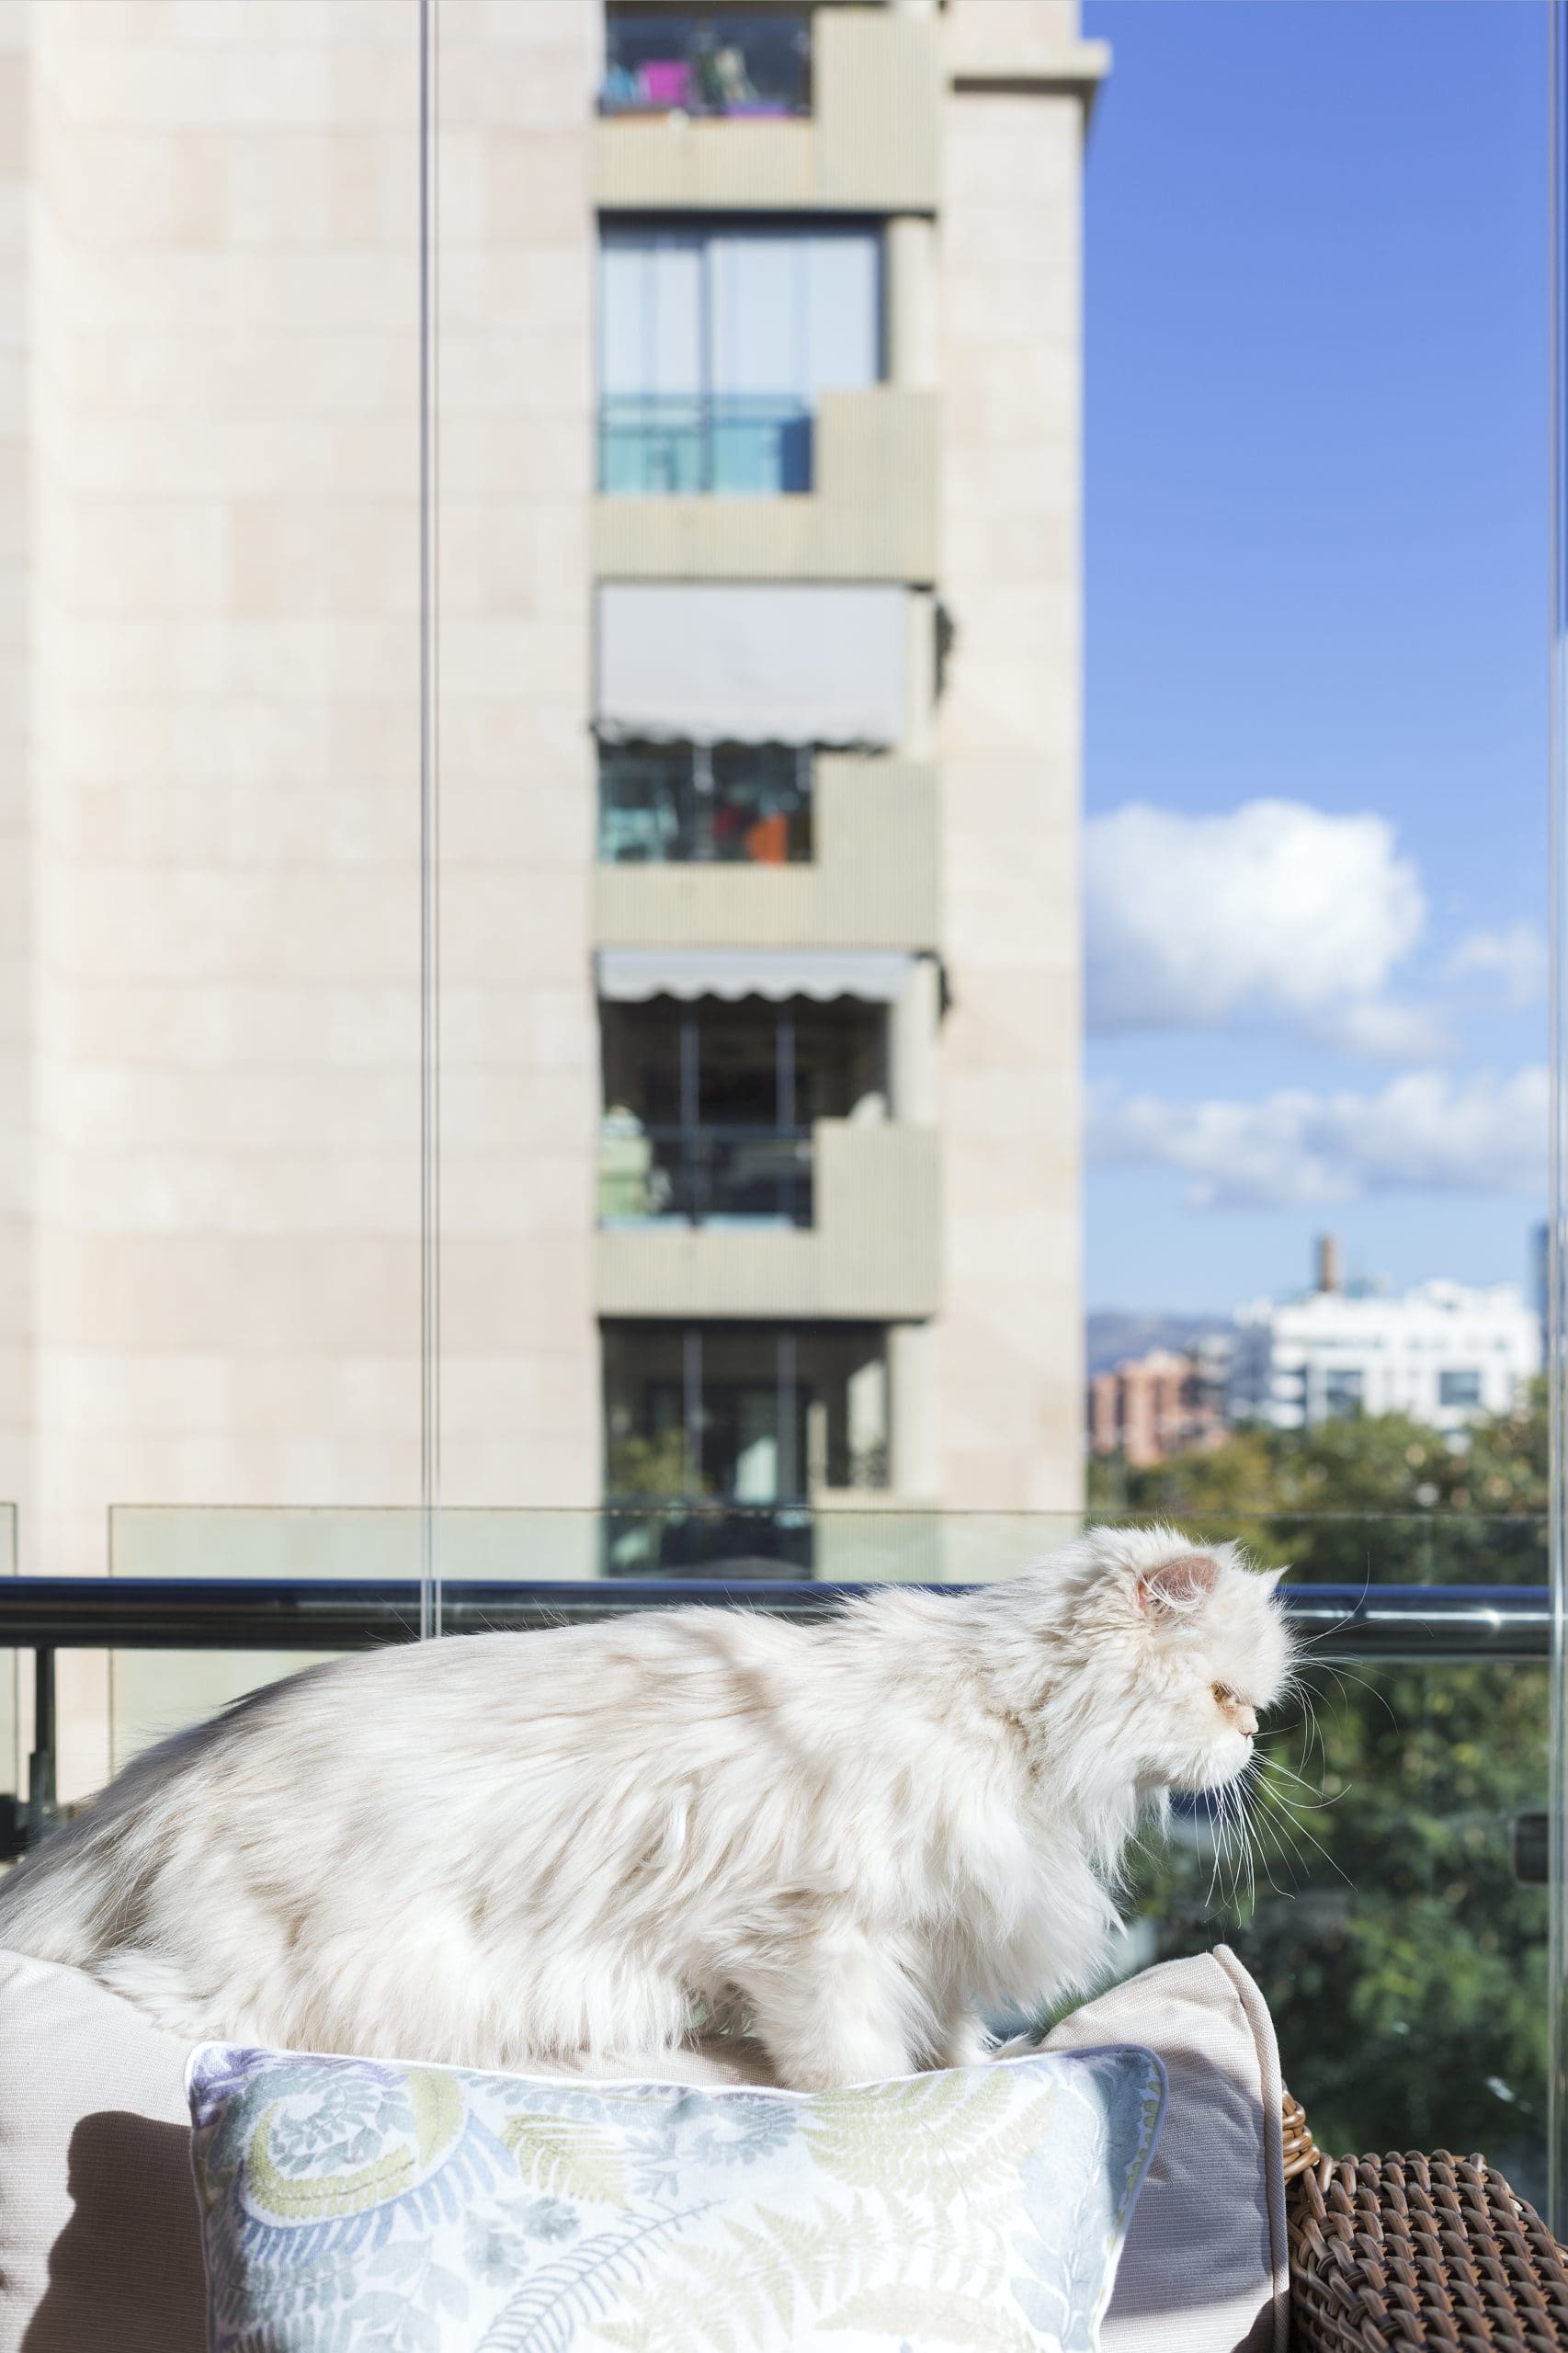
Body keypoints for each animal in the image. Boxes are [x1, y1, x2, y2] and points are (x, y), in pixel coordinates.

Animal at [0, 1524, 1280, 2098]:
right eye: (1226, 1694)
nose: (1252, 1737)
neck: (1002, 1722)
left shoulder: (946, 1926)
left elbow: (958, 2031)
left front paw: (974, 2068)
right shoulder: (819, 1931)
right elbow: (853, 2057)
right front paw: (884, 2103)